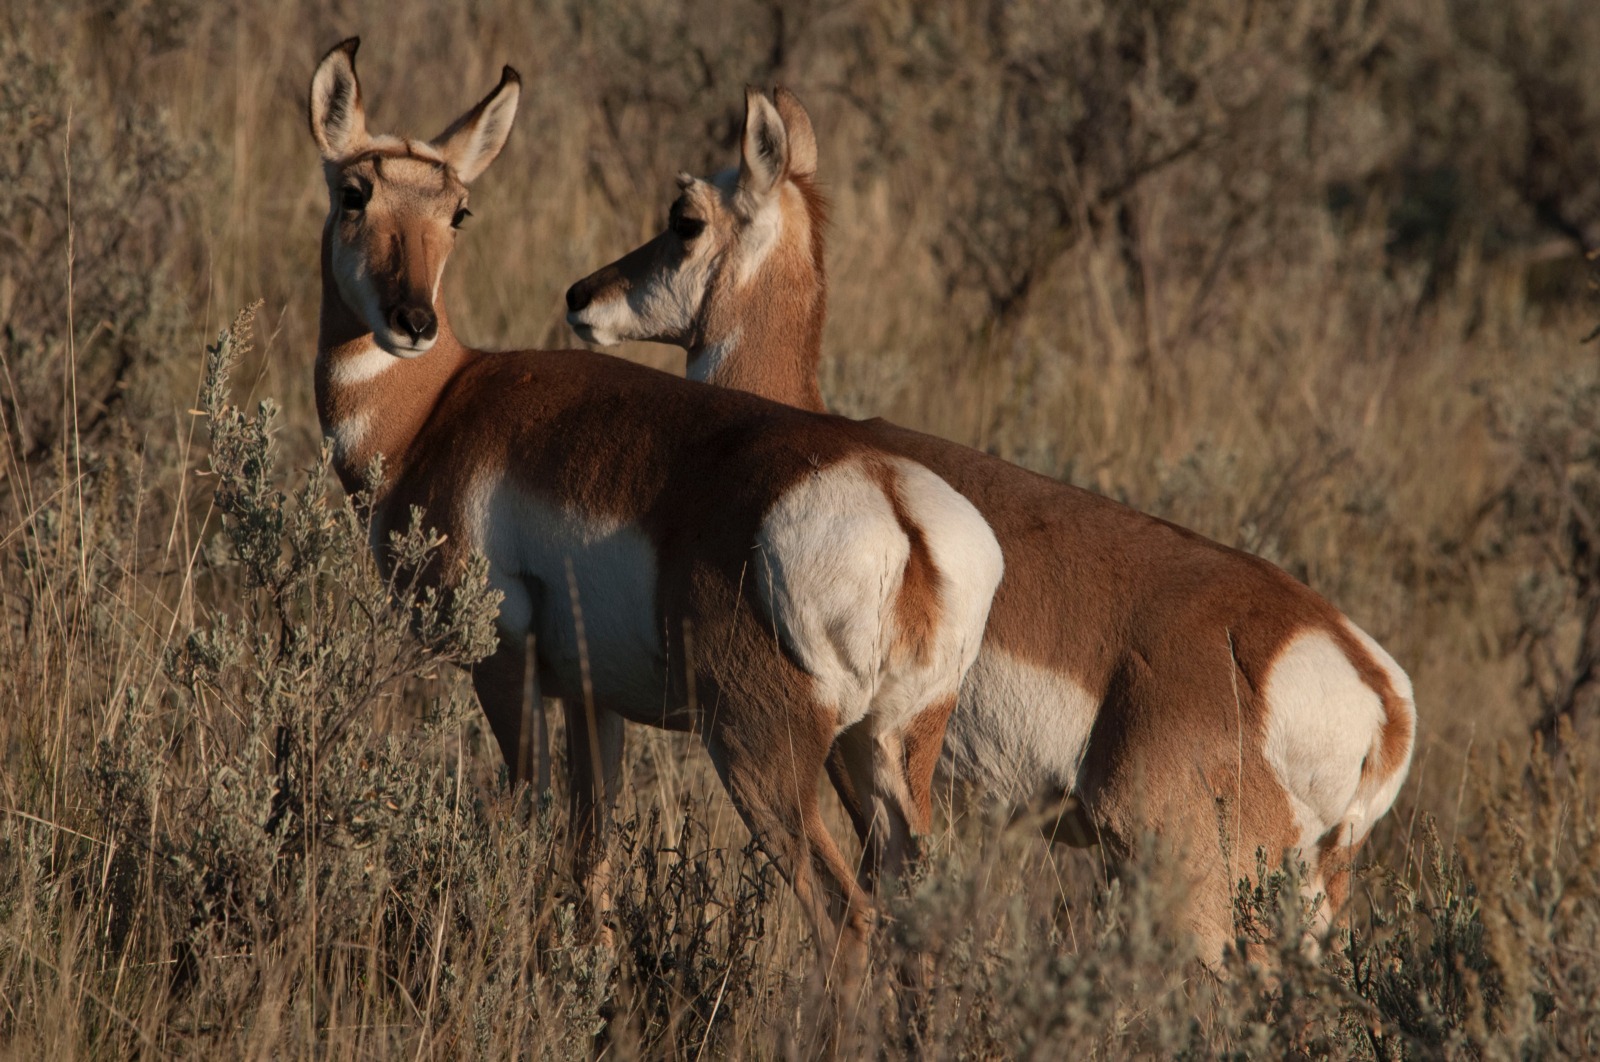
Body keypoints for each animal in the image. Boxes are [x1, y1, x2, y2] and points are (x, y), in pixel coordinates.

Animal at [304, 39, 998, 985]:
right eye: (355, 194)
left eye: (458, 209)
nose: (413, 320)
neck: (442, 400)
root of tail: (899, 513)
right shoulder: (592, 700)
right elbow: (590, 856)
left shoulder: (506, 666)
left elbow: (528, 831)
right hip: (885, 760)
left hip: (759, 754)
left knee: (842, 917)